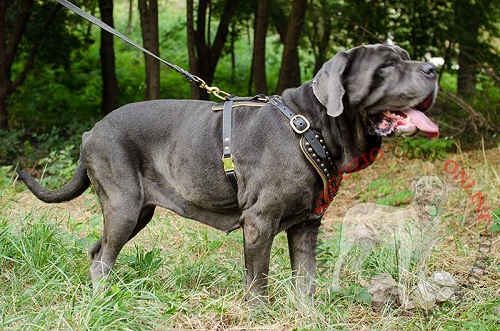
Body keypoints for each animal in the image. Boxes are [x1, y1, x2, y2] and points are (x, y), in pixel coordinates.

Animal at [16, 44, 438, 304]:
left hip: (138, 213)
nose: (434, 69)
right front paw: (258, 312)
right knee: (103, 256)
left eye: (405, 57)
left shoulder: (307, 225)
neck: (313, 126)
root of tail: (92, 131)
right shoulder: (259, 222)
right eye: (386, 66)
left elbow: (306, 279)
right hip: (124, 206)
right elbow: (258, 280)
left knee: (97, 251)